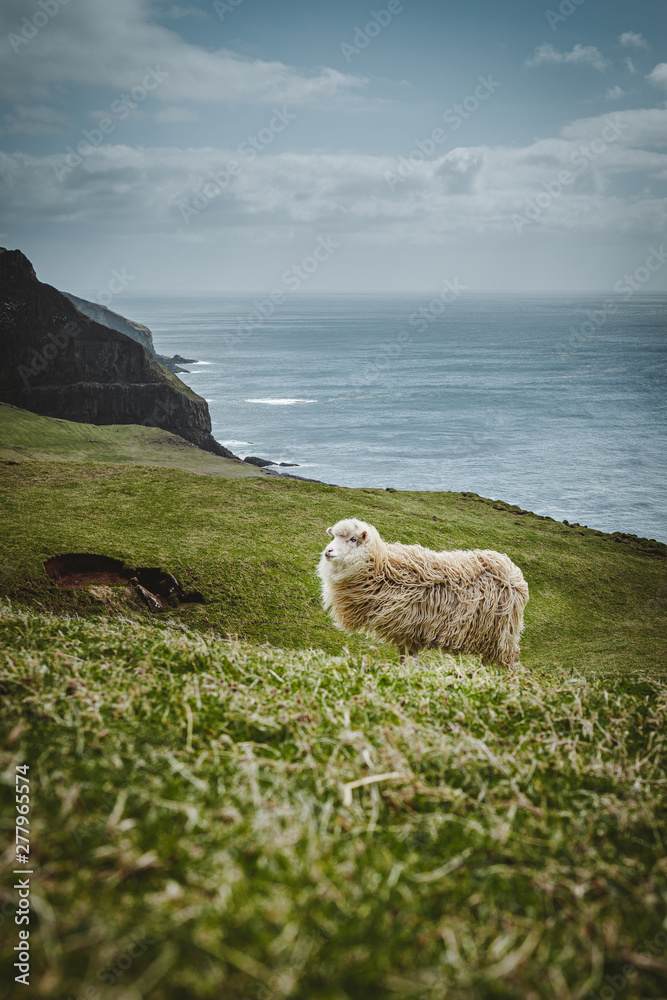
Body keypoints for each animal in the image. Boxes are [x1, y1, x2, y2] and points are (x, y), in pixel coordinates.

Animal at [317, 518, 528, 668]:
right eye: (333, 537)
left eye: (353, 539)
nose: (328, 551)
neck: (381, 568)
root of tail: (511, 569)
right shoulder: (404, 630)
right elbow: (403, 657)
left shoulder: (411, 626)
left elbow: (412, 658)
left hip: (502, 633)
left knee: (506, 660)